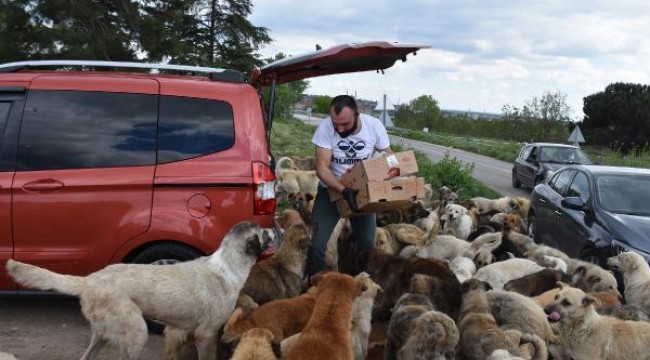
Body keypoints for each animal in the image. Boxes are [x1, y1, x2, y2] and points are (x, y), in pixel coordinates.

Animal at [6, 222, 268, 360]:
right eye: (265, 233)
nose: (275, 230)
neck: (228, 265)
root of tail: (90, 280)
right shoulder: (206, 335)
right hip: (136, 333)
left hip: (103, 334)